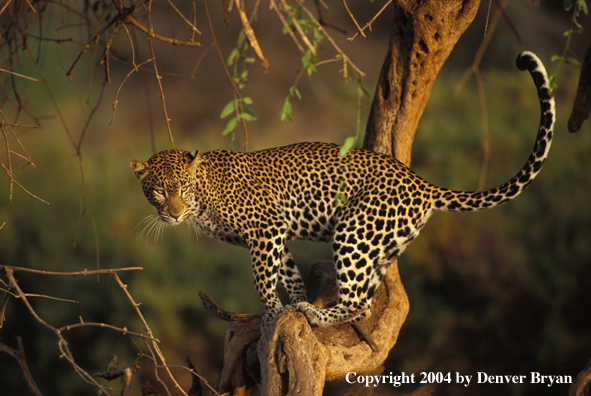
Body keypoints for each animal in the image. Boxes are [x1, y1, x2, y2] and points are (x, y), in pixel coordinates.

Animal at [130, 51, 556, 332]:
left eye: (182, 188)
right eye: (158, 192)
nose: (172, 213)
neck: (202, 199)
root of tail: (421, 182)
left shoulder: (265, 230)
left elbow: (262, 278)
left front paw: (272, 313)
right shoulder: (276, 235)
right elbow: (288, 272)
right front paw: (295, 301)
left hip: (354, 229)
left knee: (356, 300)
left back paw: (320, 315)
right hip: (383, 243)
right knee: (365, 304)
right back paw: (319, 310)